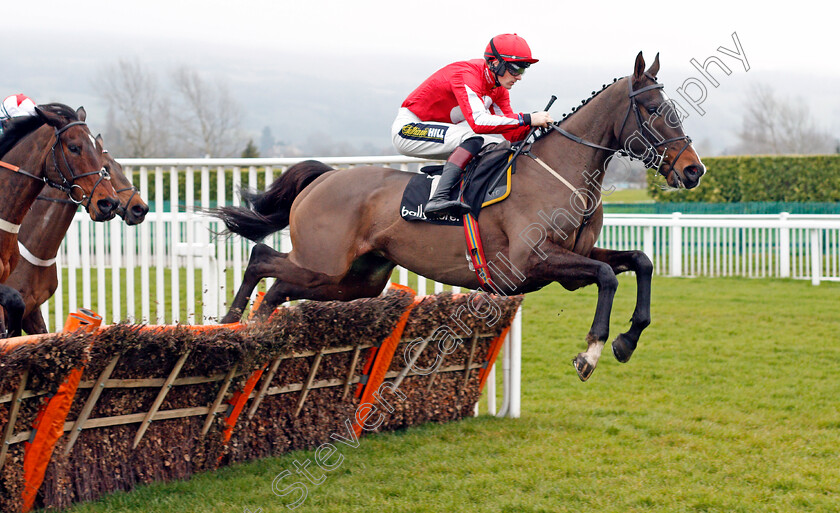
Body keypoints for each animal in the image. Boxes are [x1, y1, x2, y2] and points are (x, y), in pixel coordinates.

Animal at [213, 52, 704, 380]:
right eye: (656, 111)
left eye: (673, 110)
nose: (693, 170)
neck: (563, 172)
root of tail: (325, 178)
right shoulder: (530, 262)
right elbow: (606, 276)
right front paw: (592, 352)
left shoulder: (572, 261)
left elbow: (639, 262)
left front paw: (626, 339)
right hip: (325, 263)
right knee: (260, 257)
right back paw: (231, 324)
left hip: (354, 280)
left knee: (278, 285)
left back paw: (253, 332)